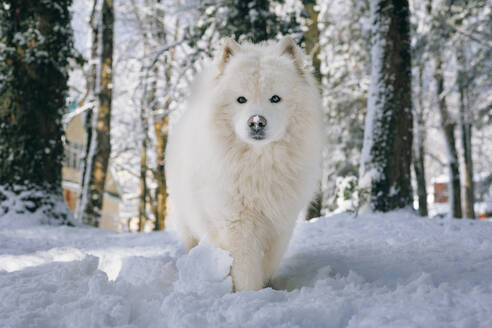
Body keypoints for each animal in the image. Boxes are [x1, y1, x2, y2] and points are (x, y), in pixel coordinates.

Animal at [167, 36, 324, 292]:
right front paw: (250, 295)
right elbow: (246, 271)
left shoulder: (280, 225)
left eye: (275, 98)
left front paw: (267, 288)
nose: (256, 122)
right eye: (241, 99)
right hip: (189, 223)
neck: (259, 165)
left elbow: (268, 263)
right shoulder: (237, 225)